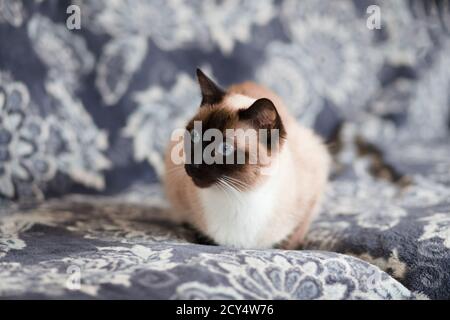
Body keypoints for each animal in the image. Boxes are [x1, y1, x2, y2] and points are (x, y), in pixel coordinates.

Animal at [163, 69, 330, 250]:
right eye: (194, 136)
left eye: (225, 148)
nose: (193, 166)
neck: (237, 195)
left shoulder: (310, 199)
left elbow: (292, 237)